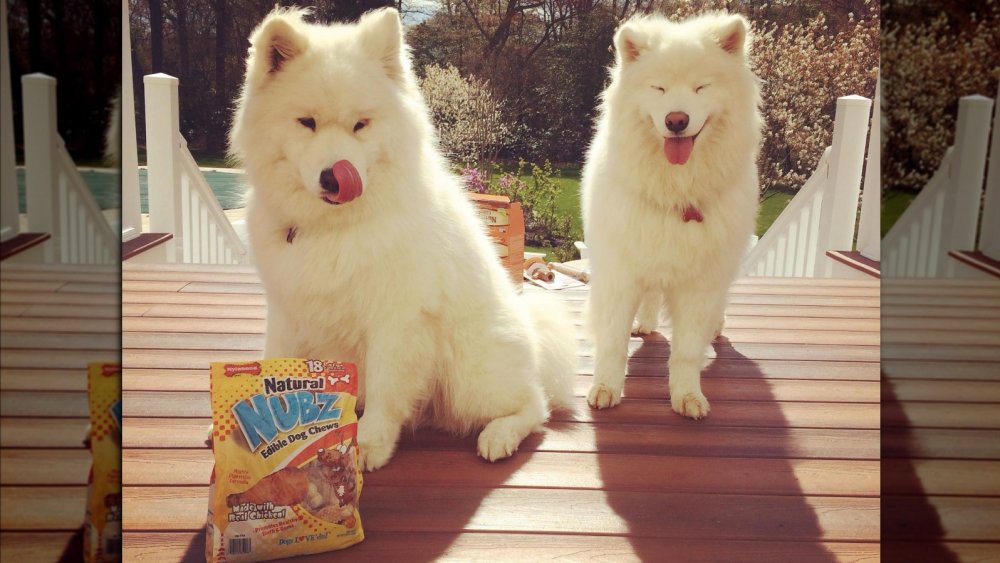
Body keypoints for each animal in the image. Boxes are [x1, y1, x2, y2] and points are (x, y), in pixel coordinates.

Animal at [229, 7, 576, 472]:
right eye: (307, 123)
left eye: (360, 124)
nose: (334, 176)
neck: (334, 227)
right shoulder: (288, 309)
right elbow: (273, 362)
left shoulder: (396, 319)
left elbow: (385, 386)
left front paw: (370, 443)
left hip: (470, 375)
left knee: (534, 406)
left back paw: (499, 435)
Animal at [584, 12, 760, 418]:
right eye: (659, 88)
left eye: (701, 87)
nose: (676, 120)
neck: (676, 189)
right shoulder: (621, 273)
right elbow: (612, 343)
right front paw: (605, 388)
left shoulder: (700, 284)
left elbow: (687, 351)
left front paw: (687, 395)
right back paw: (644, 324)